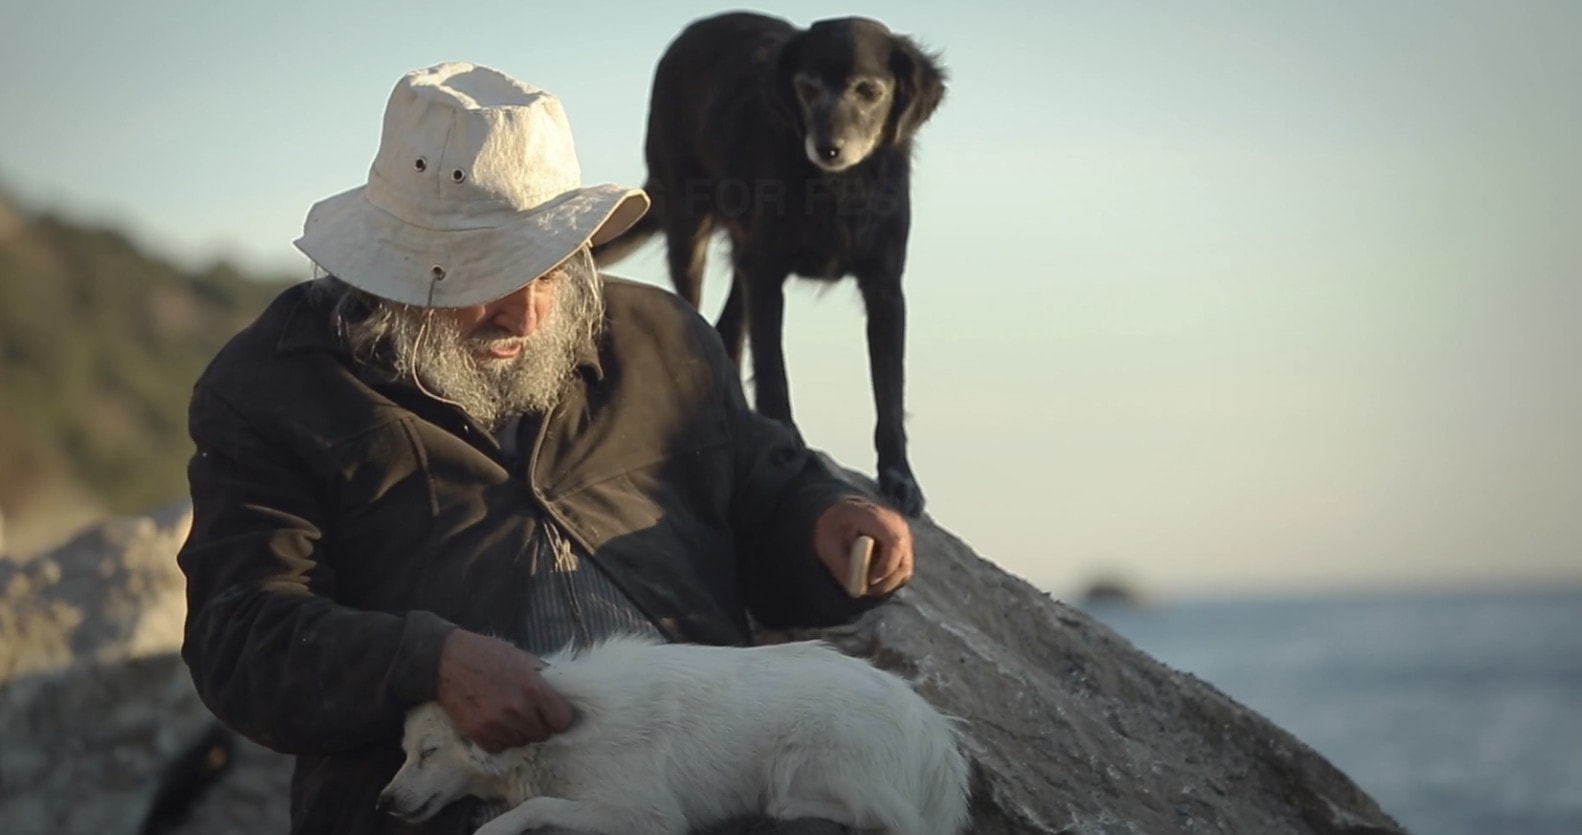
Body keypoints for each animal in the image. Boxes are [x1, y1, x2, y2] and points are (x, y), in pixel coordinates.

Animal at [379, 635, 974, 828]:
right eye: (403, 751)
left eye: (430, 752)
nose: (383, 802)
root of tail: (933, 729)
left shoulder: (650, 816)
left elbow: (537, 807)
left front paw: (497, 829)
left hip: (810, 754)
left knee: (886, 818)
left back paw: (784, 807)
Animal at [591, 11, 936, 515]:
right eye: (808, 88)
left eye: (869, 91)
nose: (828, 147)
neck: (837, 185)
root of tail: (693, 30)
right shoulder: (768, 273)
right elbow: (774, 368)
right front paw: (786, 439)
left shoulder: (884, 287)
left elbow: (889, 390)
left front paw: (900, 477)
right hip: (692, 227)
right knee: (694, 311)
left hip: (743, 259)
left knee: (727, 329)